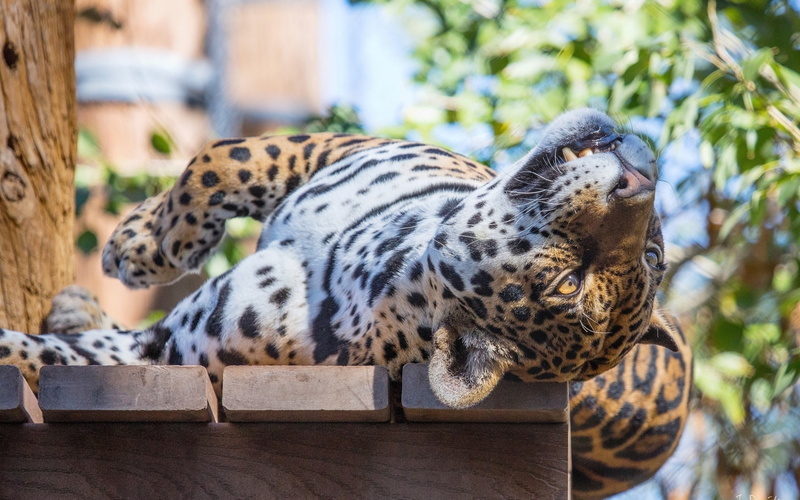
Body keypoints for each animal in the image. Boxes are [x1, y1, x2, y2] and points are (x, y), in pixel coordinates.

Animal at [0, 109, 692, 499]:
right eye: (655, 253)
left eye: (567, 284)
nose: (640, 174)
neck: (373, 260)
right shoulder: (328, 149)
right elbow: (218, 161)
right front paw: (144, 243)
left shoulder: (174, 354)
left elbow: (53, 360)